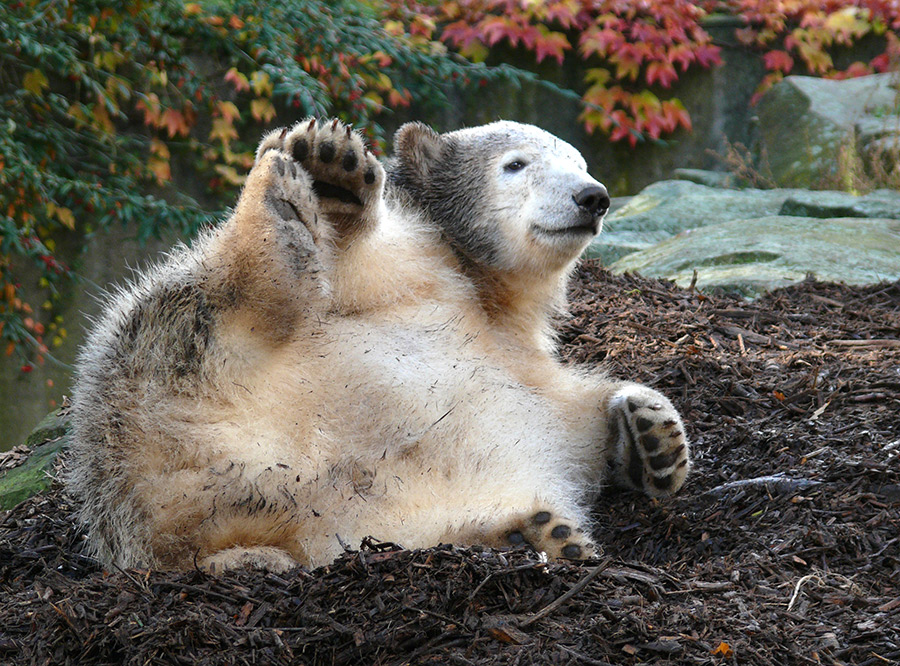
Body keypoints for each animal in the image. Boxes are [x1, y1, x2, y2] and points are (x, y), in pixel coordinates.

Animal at [67, 119, 692, 572]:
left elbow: (575, 420)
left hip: (385, 519)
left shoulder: (526, 365)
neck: (487, 292)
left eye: (581, 164)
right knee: (238, 305)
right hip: (165, 350)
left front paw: (654, 432)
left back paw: (538, 534)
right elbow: (348, 262)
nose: (593, 196)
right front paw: (334, 174)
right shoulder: (415, 260)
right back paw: (284, 203)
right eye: (516, 164)